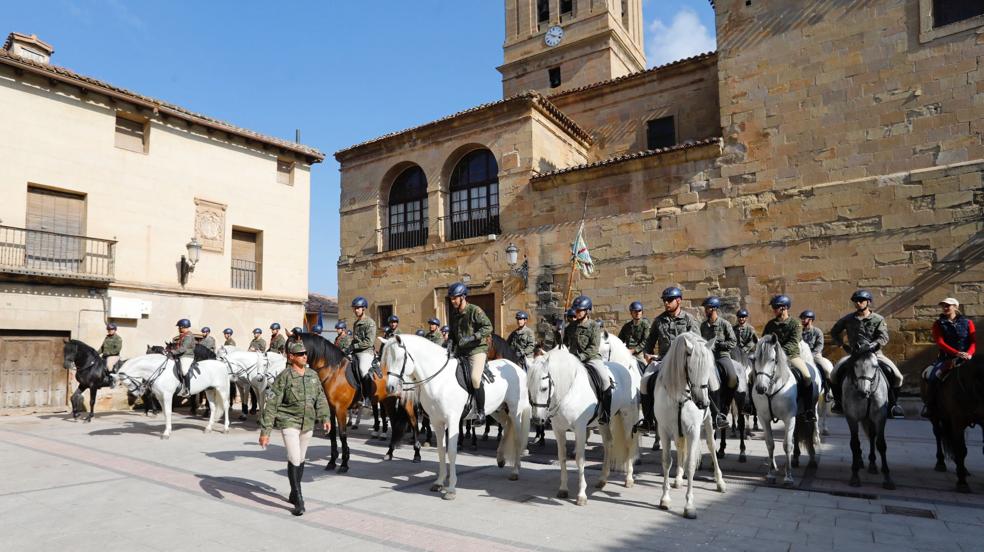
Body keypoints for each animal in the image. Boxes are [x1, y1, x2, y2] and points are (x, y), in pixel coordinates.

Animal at [378, 332, 532, 500]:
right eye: (386, 359)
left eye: (400, 358)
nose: (390, 388)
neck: (440, 380)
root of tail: (515, 367)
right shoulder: (437, 422)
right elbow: (441, 450)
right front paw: (439, 482)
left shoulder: (452, 421)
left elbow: (451, 452)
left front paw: (451, 489)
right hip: (497, 411)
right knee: (506, 426)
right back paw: (501, 458)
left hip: (515, 411)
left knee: (517, 438)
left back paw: (515, 471)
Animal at [528, 342, 640, 506]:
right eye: (529, 388)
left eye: (544, 388)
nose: (537, 420)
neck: (568, 391)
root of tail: (625, 369)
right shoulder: (558, 429)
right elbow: (562, 457)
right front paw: (563, 489)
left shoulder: (580, 429)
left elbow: (580, 460)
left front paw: (581, 495)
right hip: (603, 422)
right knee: (608, 443)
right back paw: (602, 479)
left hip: (628, 417)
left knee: (629, 444)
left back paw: (629, 479)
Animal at [652, 332, 724, 516]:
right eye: (690, 368)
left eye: (708, 368)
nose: (703, 403)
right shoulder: (664, 430)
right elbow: (666, 461)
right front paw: (665, 498)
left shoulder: (693, 431)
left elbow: (691, 465)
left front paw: (689, 505)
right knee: (679, 448)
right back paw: (678, 478)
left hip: (708, 423)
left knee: (712, 447)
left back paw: (720, 481)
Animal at [748, 334, 820, 486]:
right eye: (754, 359)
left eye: (772, 359)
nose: (760, 388)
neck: (772, 389)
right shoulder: (764, 419)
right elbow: (770, 444)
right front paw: (770, 473)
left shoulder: (789, 418)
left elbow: (787, 445)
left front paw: (788, 477)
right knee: (797, 433)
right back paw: (794, 459)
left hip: (808, 411)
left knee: (809, 431)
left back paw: (811, 459)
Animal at [924, 356, 984, 494]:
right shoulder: (957, 420)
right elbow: (961, 450)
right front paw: (962, 483)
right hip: (935, 416)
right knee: (938, 434)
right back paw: (941, 462)